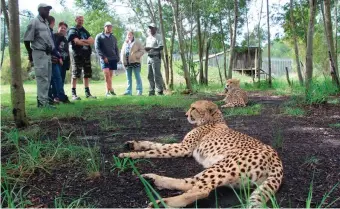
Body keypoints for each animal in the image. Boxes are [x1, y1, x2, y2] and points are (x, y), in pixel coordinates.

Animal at [118, 100, 282, 208]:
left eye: (194, 108)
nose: (185, 114)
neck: (213, 119)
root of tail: (277, 158)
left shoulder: (183, 149)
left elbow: (155, 151)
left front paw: (128, 155)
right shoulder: (181, 146)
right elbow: (156, 145)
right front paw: (133, 145)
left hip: (224, 166)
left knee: (201, 189)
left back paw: (161, 202)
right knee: (191, 183)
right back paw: (153, 180)